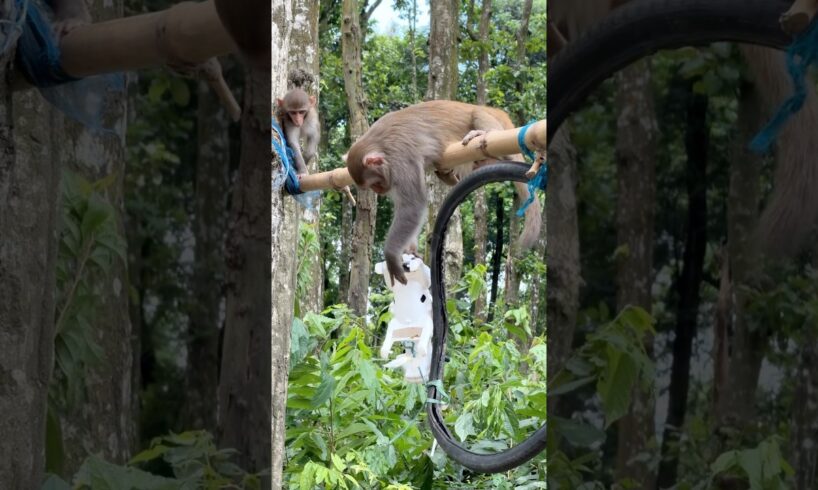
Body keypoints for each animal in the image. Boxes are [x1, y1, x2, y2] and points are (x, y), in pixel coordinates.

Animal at [345, 100, 542, 286]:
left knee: (478, 116)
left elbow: (413, 206)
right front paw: (409, 249)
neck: (380, 143)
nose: (380, 190)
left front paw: (391, 255)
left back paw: (481, 135)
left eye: (375, 184)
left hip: (492, 125)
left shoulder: (401, 159)